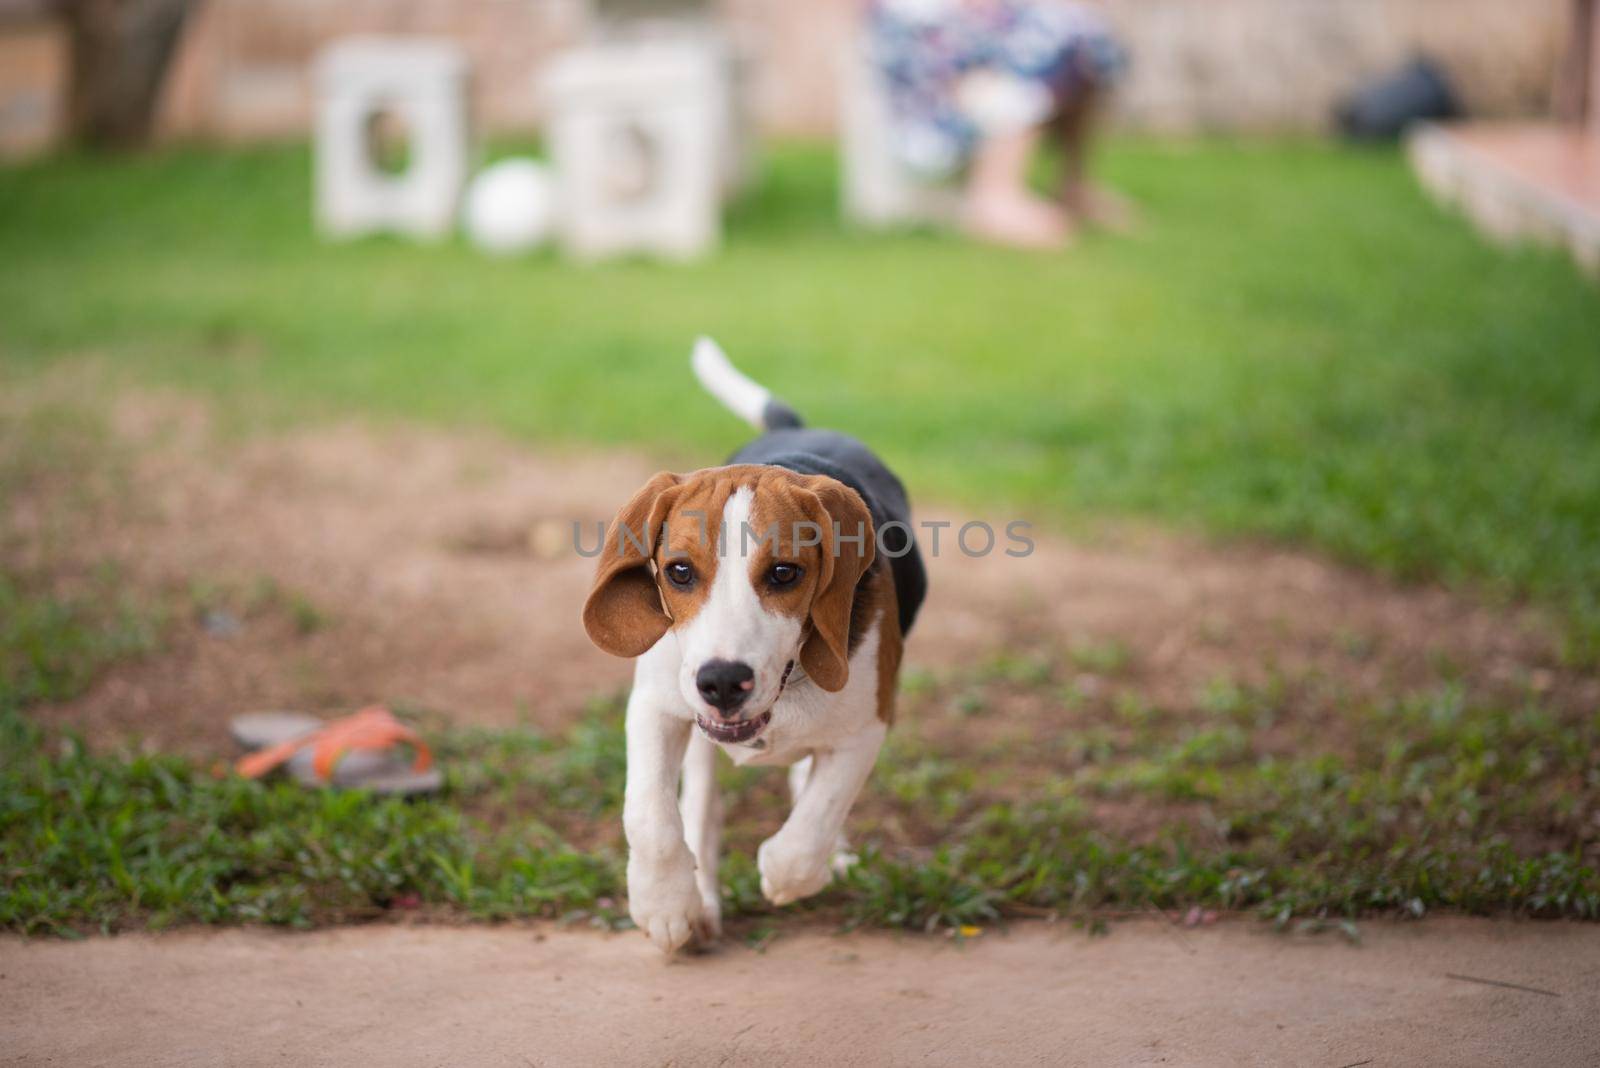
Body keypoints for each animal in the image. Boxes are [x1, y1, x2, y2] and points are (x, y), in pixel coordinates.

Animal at [582, 335, 928, 952]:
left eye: (785, 573)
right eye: (679, 572)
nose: (721, 681)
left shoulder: (867, 726)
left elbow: (811, 827)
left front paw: (788, 874)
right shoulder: (655, 706)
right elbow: (650, 817)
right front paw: (663, 903)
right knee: (700, 807)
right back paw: (702, 900)